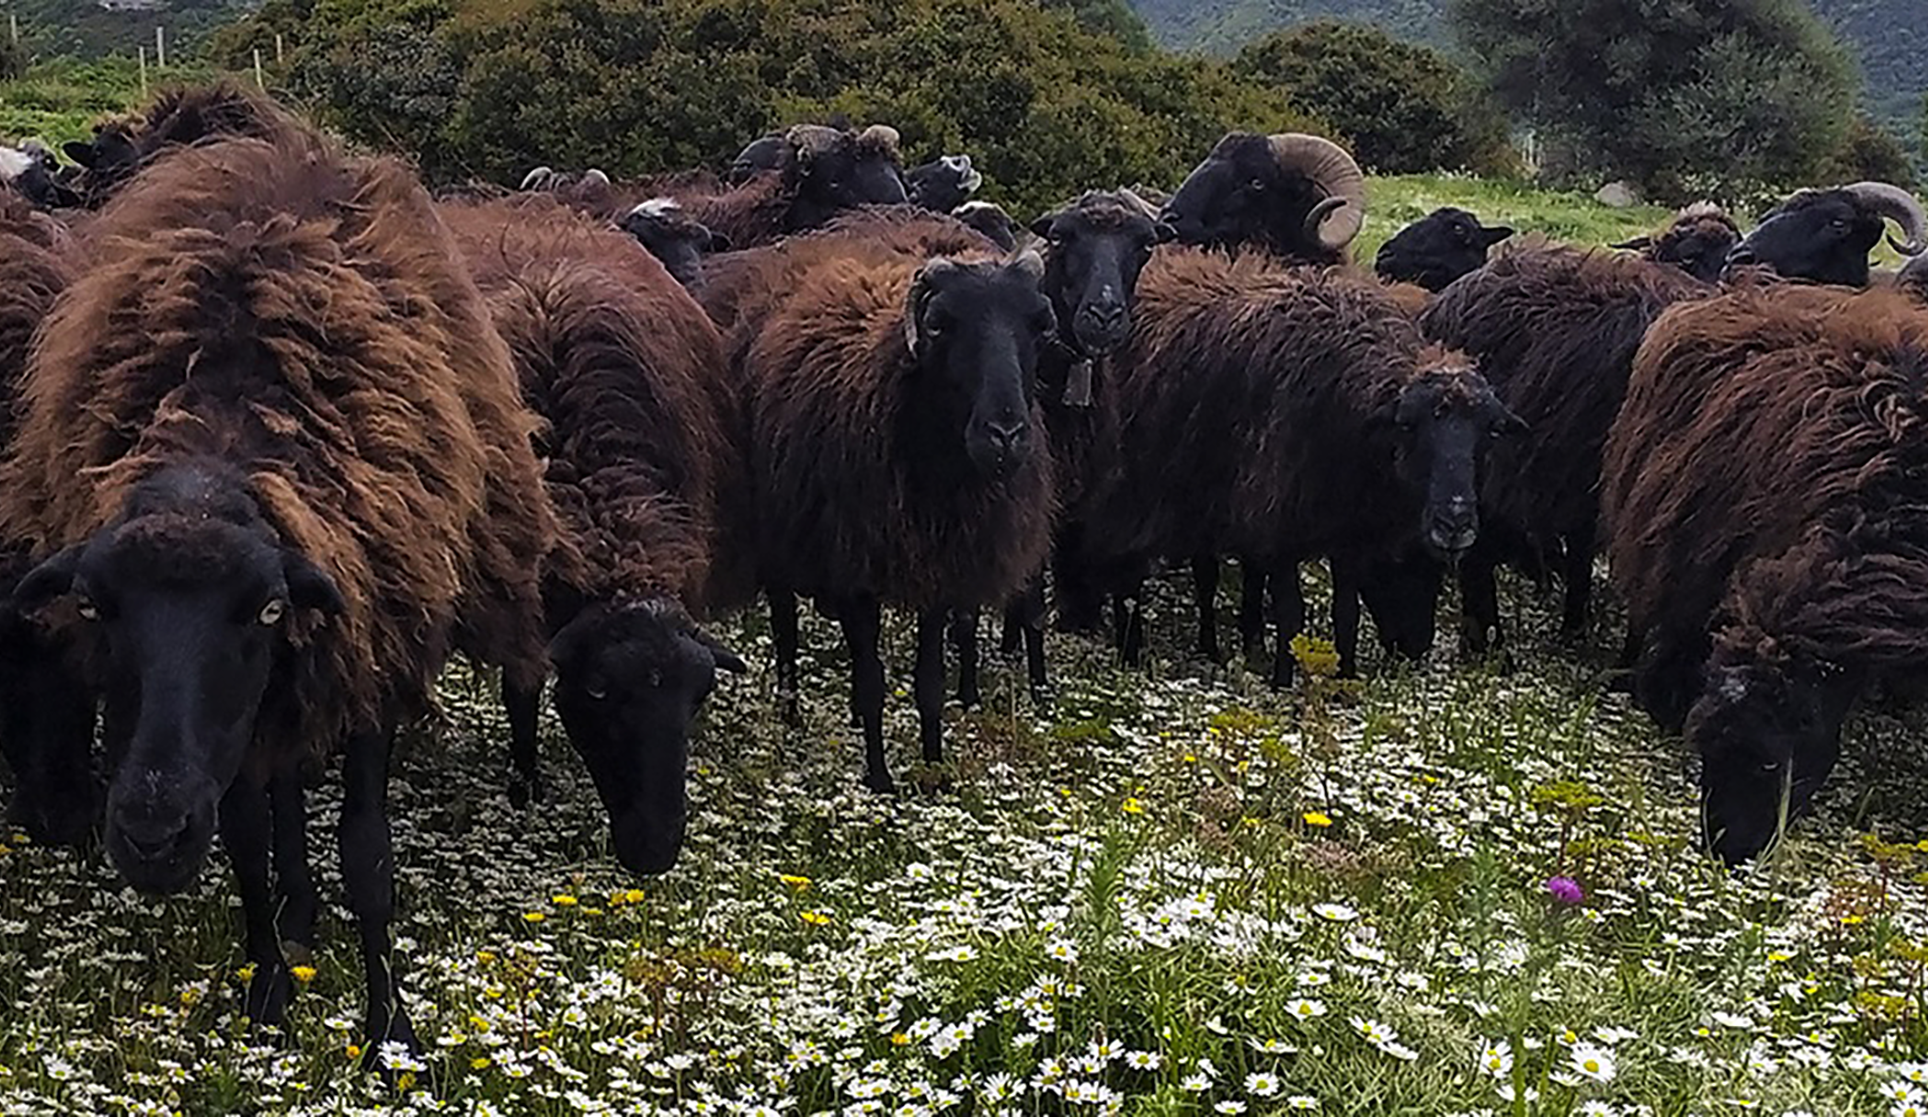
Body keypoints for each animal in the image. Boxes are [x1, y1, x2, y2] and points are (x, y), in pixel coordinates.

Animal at [0, 130, 552, 1055]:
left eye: (262, 609)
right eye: (96, 607)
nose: (151, 836)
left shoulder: (368, 665)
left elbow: (366, 853)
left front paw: (389, 1028)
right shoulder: (236, 729)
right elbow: (248, 839)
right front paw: (267, 990)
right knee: (280, 799)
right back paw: (294, 916)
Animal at [742, 243, 1056, 791]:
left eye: (1038, 324)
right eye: (940, 324)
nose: (1005, 435)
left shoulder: (940, 573)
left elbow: (930, 682)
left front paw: (934, 768)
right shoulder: (853, 574)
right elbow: (872, 682)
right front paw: (880, 778)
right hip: (781, 542)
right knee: (785, 633)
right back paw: (791, 715)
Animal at [1067, 249, 1523, 686]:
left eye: (1491, 431)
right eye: (1408, 425)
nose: (1455, 523)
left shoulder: (1345, 533)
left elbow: (1346, 614)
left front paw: (1345, 680)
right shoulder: (1277, 524)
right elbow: (1290, 615)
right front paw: (1284, 683)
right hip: (1127, 486)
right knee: (1124, 571)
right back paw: (1128, 651)